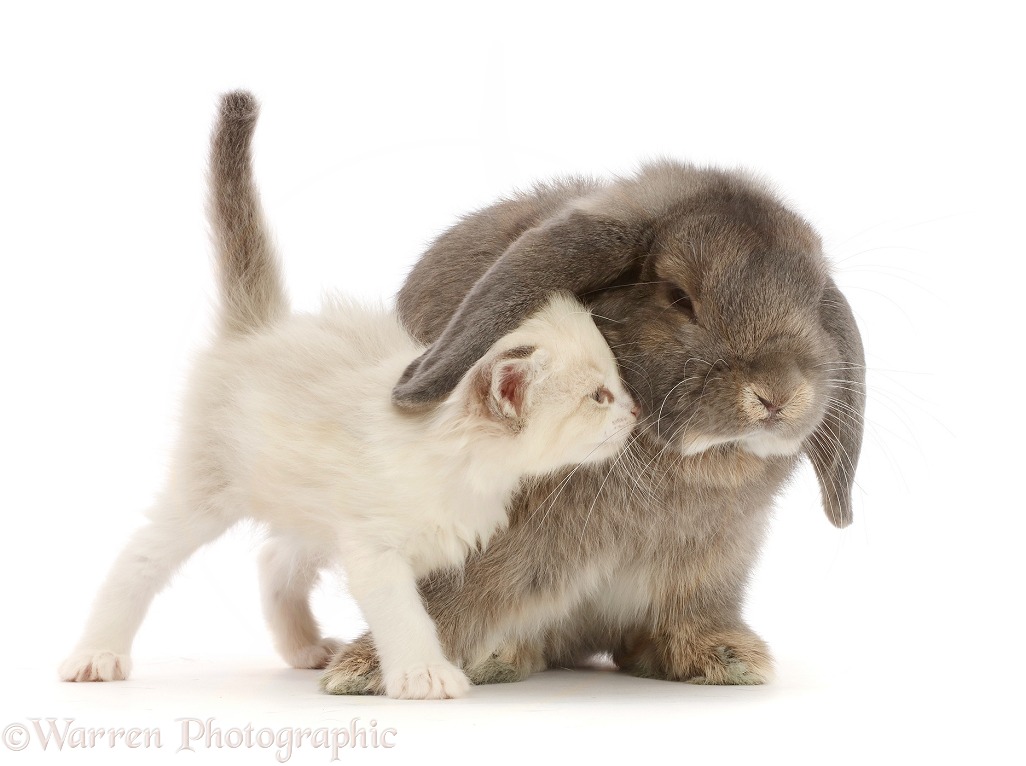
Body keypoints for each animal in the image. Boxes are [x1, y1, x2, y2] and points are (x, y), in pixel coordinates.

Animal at [56, 91, 636, 701]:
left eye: (617, 383)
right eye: (598, 397)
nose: (636, 410)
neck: (463, 464)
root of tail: (262, 329)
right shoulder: (374, 546)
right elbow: (407, 615)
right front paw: (424, 674)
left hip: (308, 503)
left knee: (273, 558)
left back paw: (303, 648)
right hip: (208, 488)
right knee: (143, 552)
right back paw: (96, 654)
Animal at [316, 159, 861, 689]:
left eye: (812, 300)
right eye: (678, 297)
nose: (778, 394)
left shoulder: (711, 563)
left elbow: (691, 609)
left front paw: (726, 658)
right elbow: (444, 599)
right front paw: (372, 670)